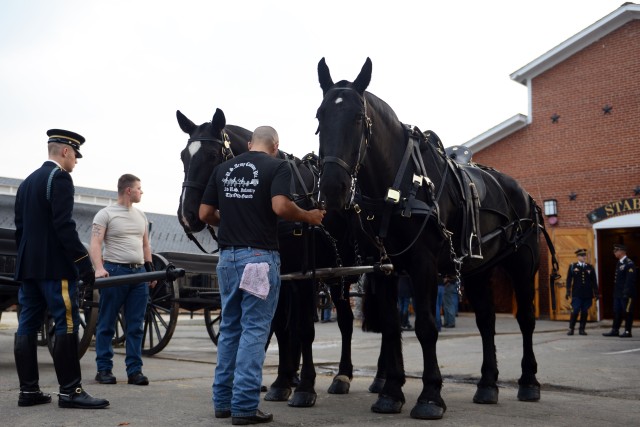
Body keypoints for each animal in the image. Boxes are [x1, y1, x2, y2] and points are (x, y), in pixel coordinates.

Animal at [312, 57, 552, 422]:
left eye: (357, 118)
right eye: (320, 116)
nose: (332, 188)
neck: (397, 188)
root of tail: (524, 194)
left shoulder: (422, 264)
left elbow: (425, 326)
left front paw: (430, 395)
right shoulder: (382, 268)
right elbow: (391, 327)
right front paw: (391, 391)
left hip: (523, 264)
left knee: (525, 319)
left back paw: (528, 382)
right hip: (478, 269)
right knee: (486, 321)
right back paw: (487, 384)